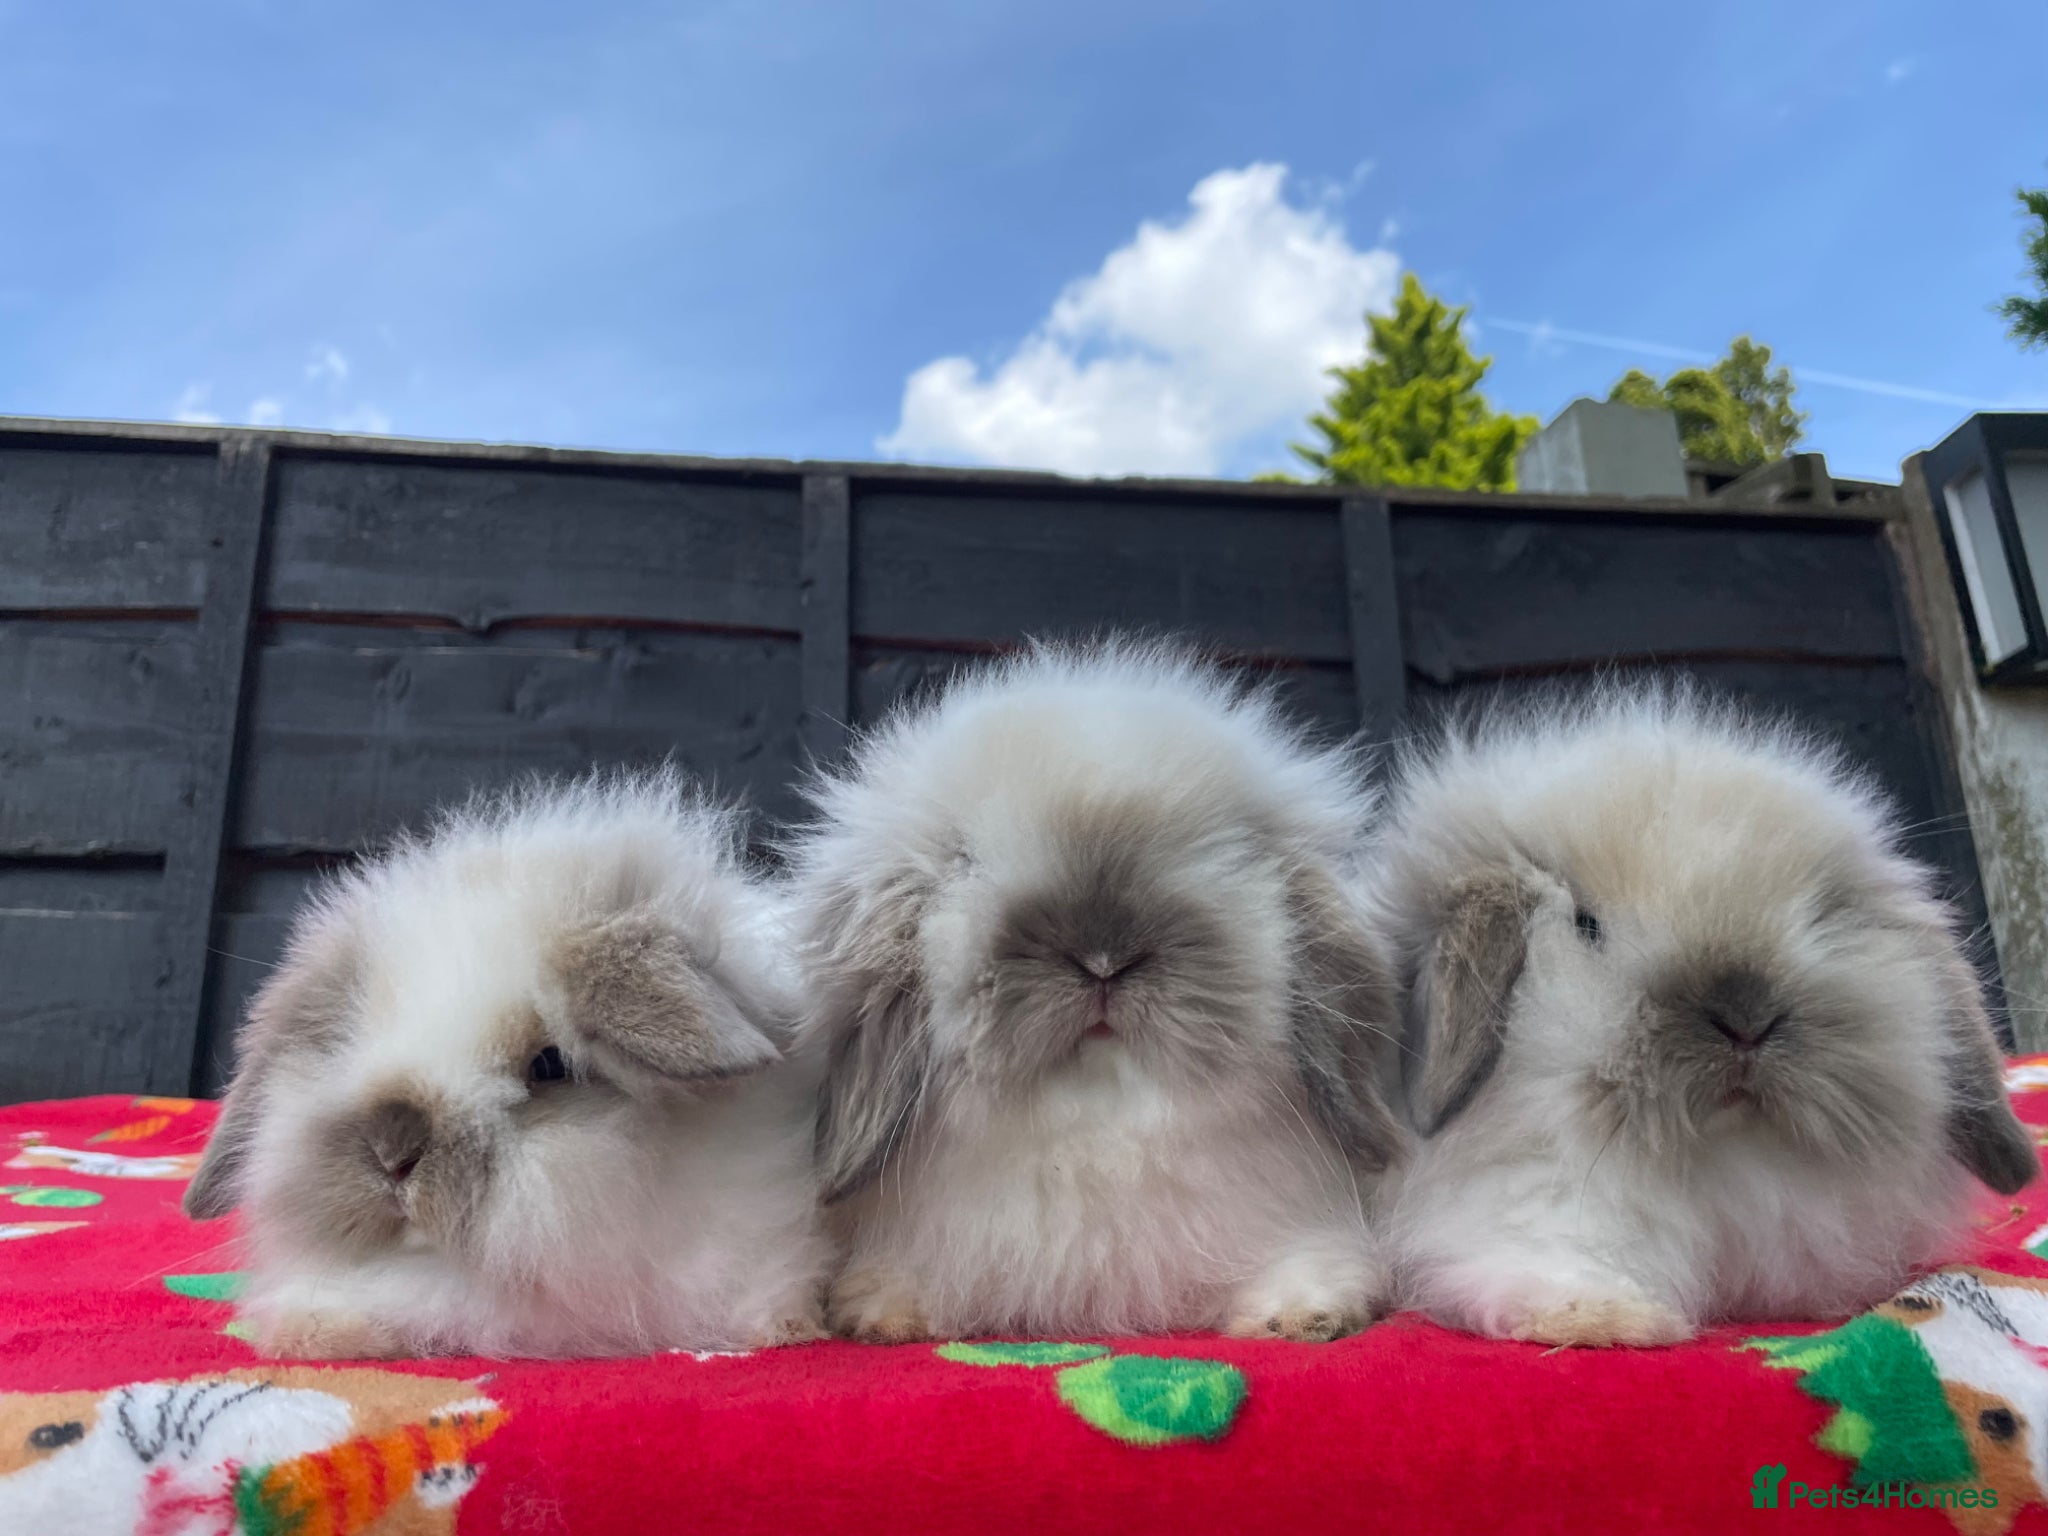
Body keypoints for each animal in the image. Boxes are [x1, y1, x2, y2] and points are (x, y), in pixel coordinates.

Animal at [787, 639, 1406, 1343]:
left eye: (1219, 854)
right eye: (965, 859)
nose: (1104, 959)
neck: (1097, 1133)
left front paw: (1302, 1316)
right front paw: (886, 1315)